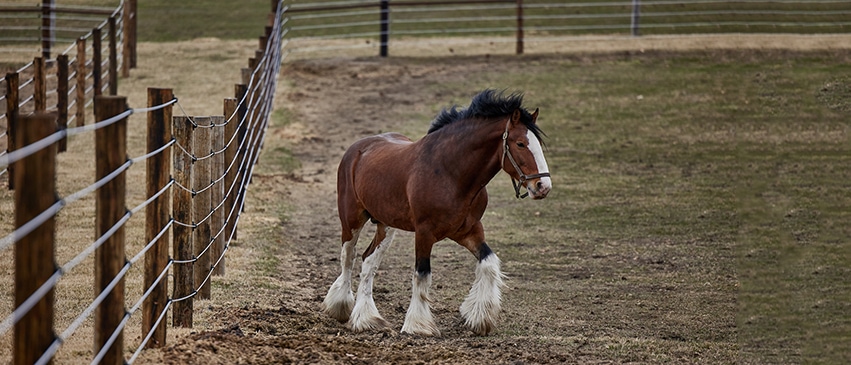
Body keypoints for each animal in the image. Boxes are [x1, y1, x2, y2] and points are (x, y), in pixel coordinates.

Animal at [322, 89, 552, 334]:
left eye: (538, 143)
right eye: (520, 144)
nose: (543, 186)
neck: (450, 172)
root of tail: (357, 149)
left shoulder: (469, 230)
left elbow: (489, 264)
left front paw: (479, 318)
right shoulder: (425, 232)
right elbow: (422, 275)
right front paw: (418, 325)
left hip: (386, 226)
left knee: (368, 262)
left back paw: (367, 319)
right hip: (351, 219)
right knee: (348, 257)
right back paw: (341, 306)